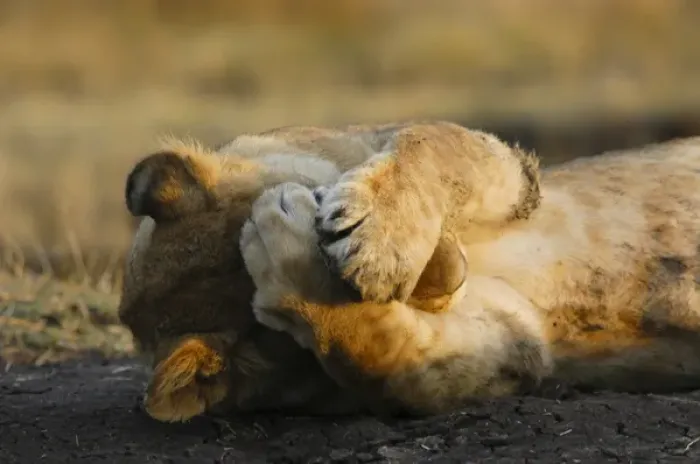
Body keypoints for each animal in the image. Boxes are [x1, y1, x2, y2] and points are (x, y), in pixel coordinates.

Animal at [120, 120, 700, 421]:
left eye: (320, 201)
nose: (456, 273)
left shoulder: (512, 171)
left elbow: (426, 142)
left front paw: (378, 239)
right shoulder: (515, 345)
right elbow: (377, 353)